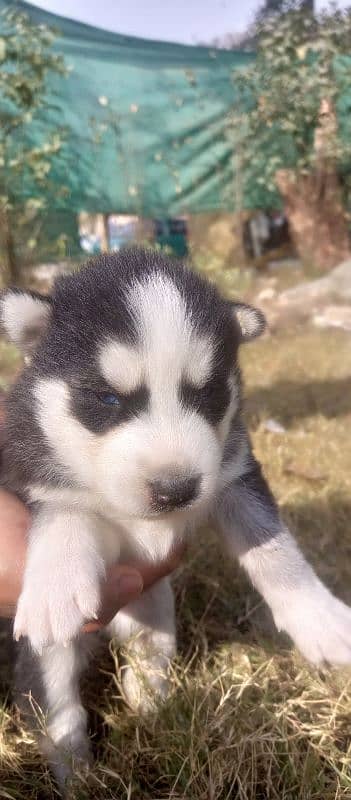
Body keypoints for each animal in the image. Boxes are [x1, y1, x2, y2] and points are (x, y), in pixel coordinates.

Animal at [0, 250, 351, 788]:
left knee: (150, 651)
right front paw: (55, 583)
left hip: (158, 608)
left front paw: (321, 620)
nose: (176, 491)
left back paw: (150, 701)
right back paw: (80, 777)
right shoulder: (29, 473)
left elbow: (275, 551)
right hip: (47, 660)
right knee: (57, 711)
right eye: (107, 398)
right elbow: (65, 510)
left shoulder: (234, 474)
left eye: (206, 393)